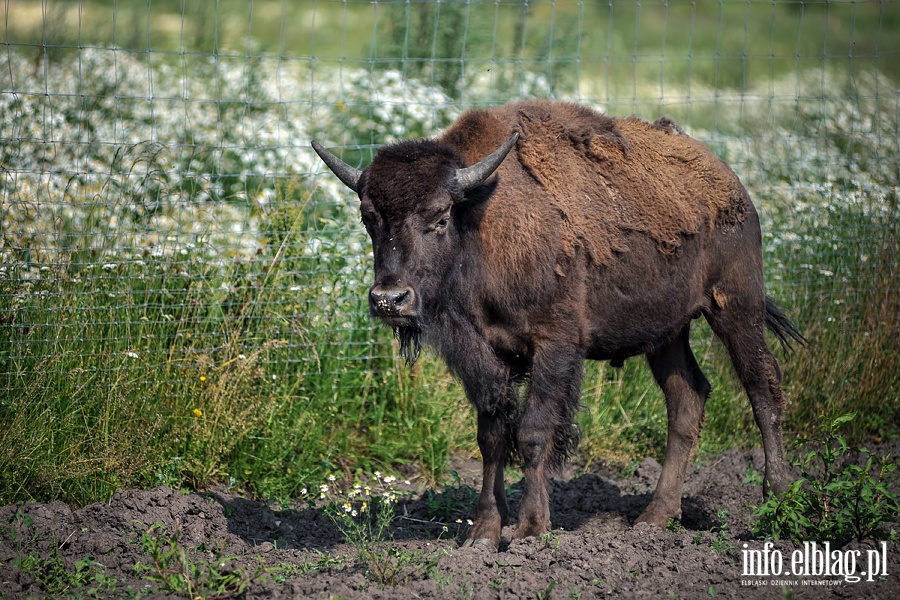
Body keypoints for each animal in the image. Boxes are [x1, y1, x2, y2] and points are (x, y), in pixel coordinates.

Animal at [312, 99, 804, 552]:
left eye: (439, 217)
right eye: (368, 218)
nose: (389, 299)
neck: (479, 216)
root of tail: (732, 183)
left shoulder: (554, 343)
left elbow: (533, 432)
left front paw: (531, 530)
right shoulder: (486, 356)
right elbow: (492, 435)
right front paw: (484, 534)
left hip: (735, 304)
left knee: (762, 385)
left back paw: (779, 498)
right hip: (666, 331)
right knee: (687, 398)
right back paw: (655, 518)